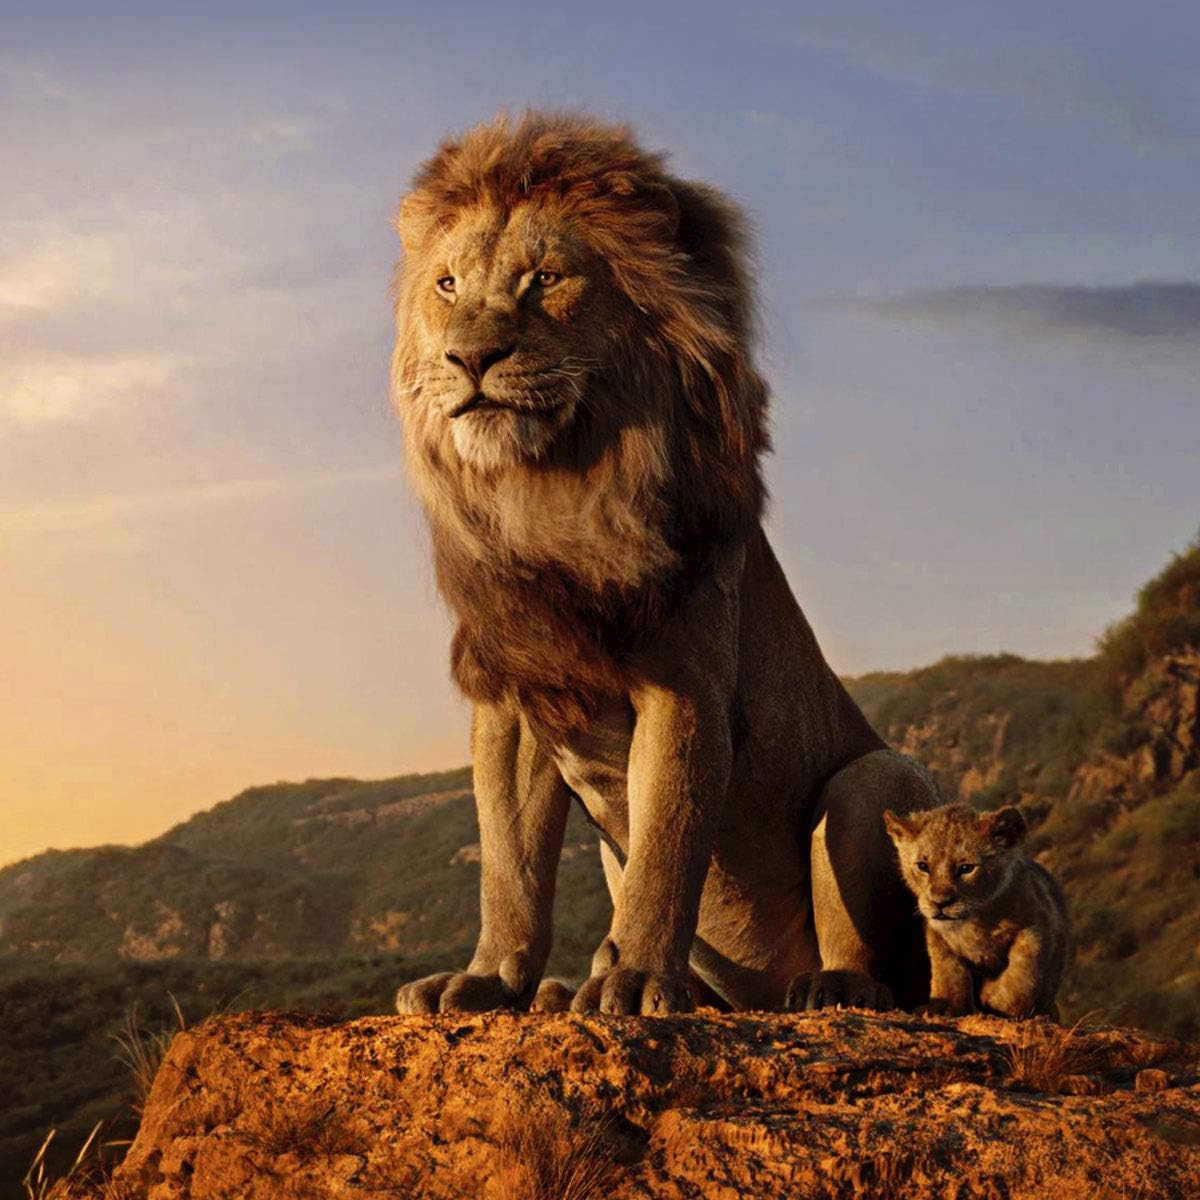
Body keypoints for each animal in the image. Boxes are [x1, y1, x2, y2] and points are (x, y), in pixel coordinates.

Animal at [391, 111, 937, 1016]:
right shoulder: (515, 697)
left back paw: (826, 987)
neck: (550, 491)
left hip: (875, 778)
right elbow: (509, 866)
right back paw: (569, 989)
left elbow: (667, 847)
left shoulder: (685, 688)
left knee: (881, 966)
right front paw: (488, 979)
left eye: (545, 279)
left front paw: (639, 978)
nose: (470, 358)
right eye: (446, 285)